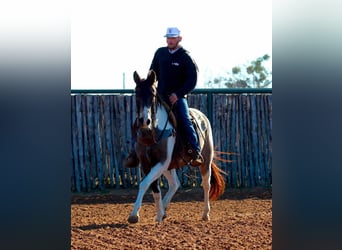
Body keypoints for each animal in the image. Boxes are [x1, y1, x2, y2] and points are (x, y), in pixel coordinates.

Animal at [127, 70, 226, 223]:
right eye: (137, 93)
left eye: (153, 93)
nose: (144, 120)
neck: (152, 131)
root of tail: (202, 116)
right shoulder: (147, 162)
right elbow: (154, 187)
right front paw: (158, 214)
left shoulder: (162, 161)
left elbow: (145, 183)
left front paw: (134, 215)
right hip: (170, 165)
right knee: (175, 184)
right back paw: (163, 211)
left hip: (205, 159)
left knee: (206, 184)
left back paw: (205, 213)